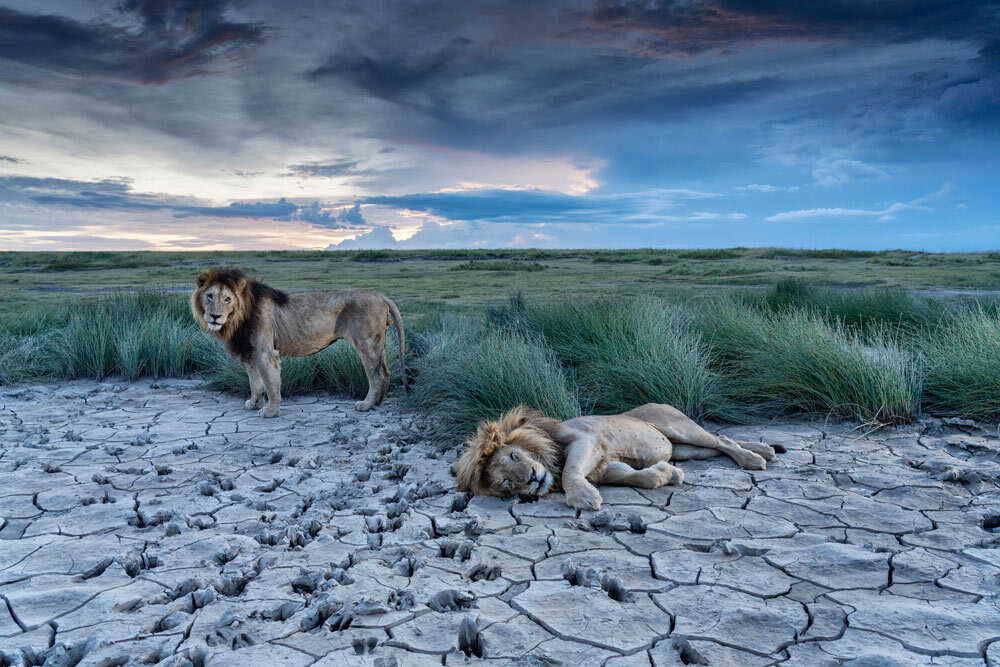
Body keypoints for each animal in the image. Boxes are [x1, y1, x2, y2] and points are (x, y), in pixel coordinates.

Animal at [191, 268, 406, 418]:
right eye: (210, 296)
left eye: (227, 299)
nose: (215, 316)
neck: (238, 318)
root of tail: (379, 295)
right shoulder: (249, 353)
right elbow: (255, 382)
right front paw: (254, 403)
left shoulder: (266, 352)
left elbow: (270, 383)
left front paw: (271, 411)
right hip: (378, 344)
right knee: (386, 372)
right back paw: (378, 402)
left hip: (366, 343)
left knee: (376, 376)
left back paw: (366, 405)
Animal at [454, 402, 780, 512]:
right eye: (507, 485)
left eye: (512, 456)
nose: (533, 479)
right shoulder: (604, 467)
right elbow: (637, 477)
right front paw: (668, 474)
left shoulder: (585, 440)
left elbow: (570, 472)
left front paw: (584, 498)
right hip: (686, 450)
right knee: (720, 445)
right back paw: (763, 450)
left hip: (681, 429)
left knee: (721, 439)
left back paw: (757, 457)